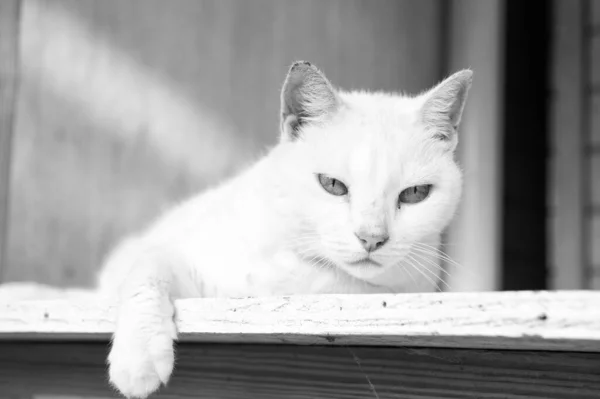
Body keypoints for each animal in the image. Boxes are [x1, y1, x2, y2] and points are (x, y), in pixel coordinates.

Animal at [99, 61, 474, 398]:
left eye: (415, 193)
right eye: (332, 185)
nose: (371, 238)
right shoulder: (157, 253)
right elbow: (147, 269)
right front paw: (138, 359)